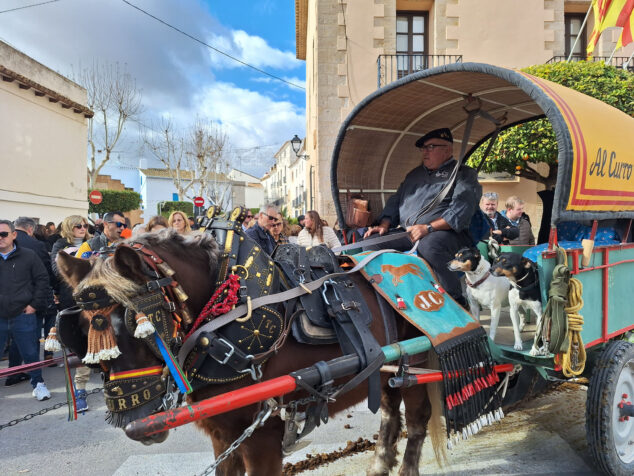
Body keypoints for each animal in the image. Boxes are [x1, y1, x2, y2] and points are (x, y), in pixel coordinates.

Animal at [55, 229, 444, 474]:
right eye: (81, 335)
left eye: (143, 328)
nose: (137, 421)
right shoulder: (224, 435)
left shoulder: (263, 438)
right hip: (390, 368)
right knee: (390, 414)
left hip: (419, 363)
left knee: (418, 421)